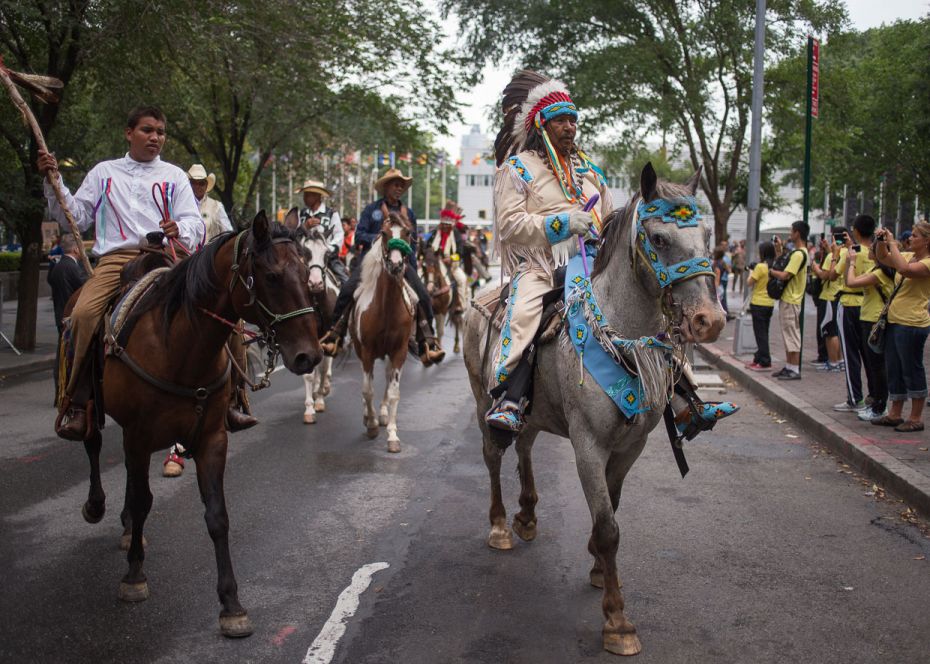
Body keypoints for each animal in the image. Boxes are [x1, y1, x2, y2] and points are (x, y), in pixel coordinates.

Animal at [74, 213, 320, 640]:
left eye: (307, 273)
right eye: (272, 276)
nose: (309, 356)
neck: (181, 347)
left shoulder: (211, 439)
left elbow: (217, 516)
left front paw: (231, 604)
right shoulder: (137, 435)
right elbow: (143, 501)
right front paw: (134, 576)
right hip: (93, 401)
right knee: (92, 442)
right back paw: (97, 505)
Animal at [350, 213, 416, 452]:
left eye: (407, 232)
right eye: (384, 233)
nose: (396, 264)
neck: (386, 308)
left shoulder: (399, 351)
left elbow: (394, 392)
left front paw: (392, 436)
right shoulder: (367, 351)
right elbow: (367, 390)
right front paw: (370, 424)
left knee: (388, 379)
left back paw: (384, 414)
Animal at [464, 165, 724, 652]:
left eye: (707, 236)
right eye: (658, 238)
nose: (709, 321)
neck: (622, 337)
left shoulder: (631, 446)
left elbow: (613, 508)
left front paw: (598, 568)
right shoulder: (588, 446)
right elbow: (608, 527)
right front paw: (617, 620)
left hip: (536, 410)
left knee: (525, 447)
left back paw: (527, 515)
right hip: (481, 398)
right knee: (493, 455)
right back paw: (501, 526)